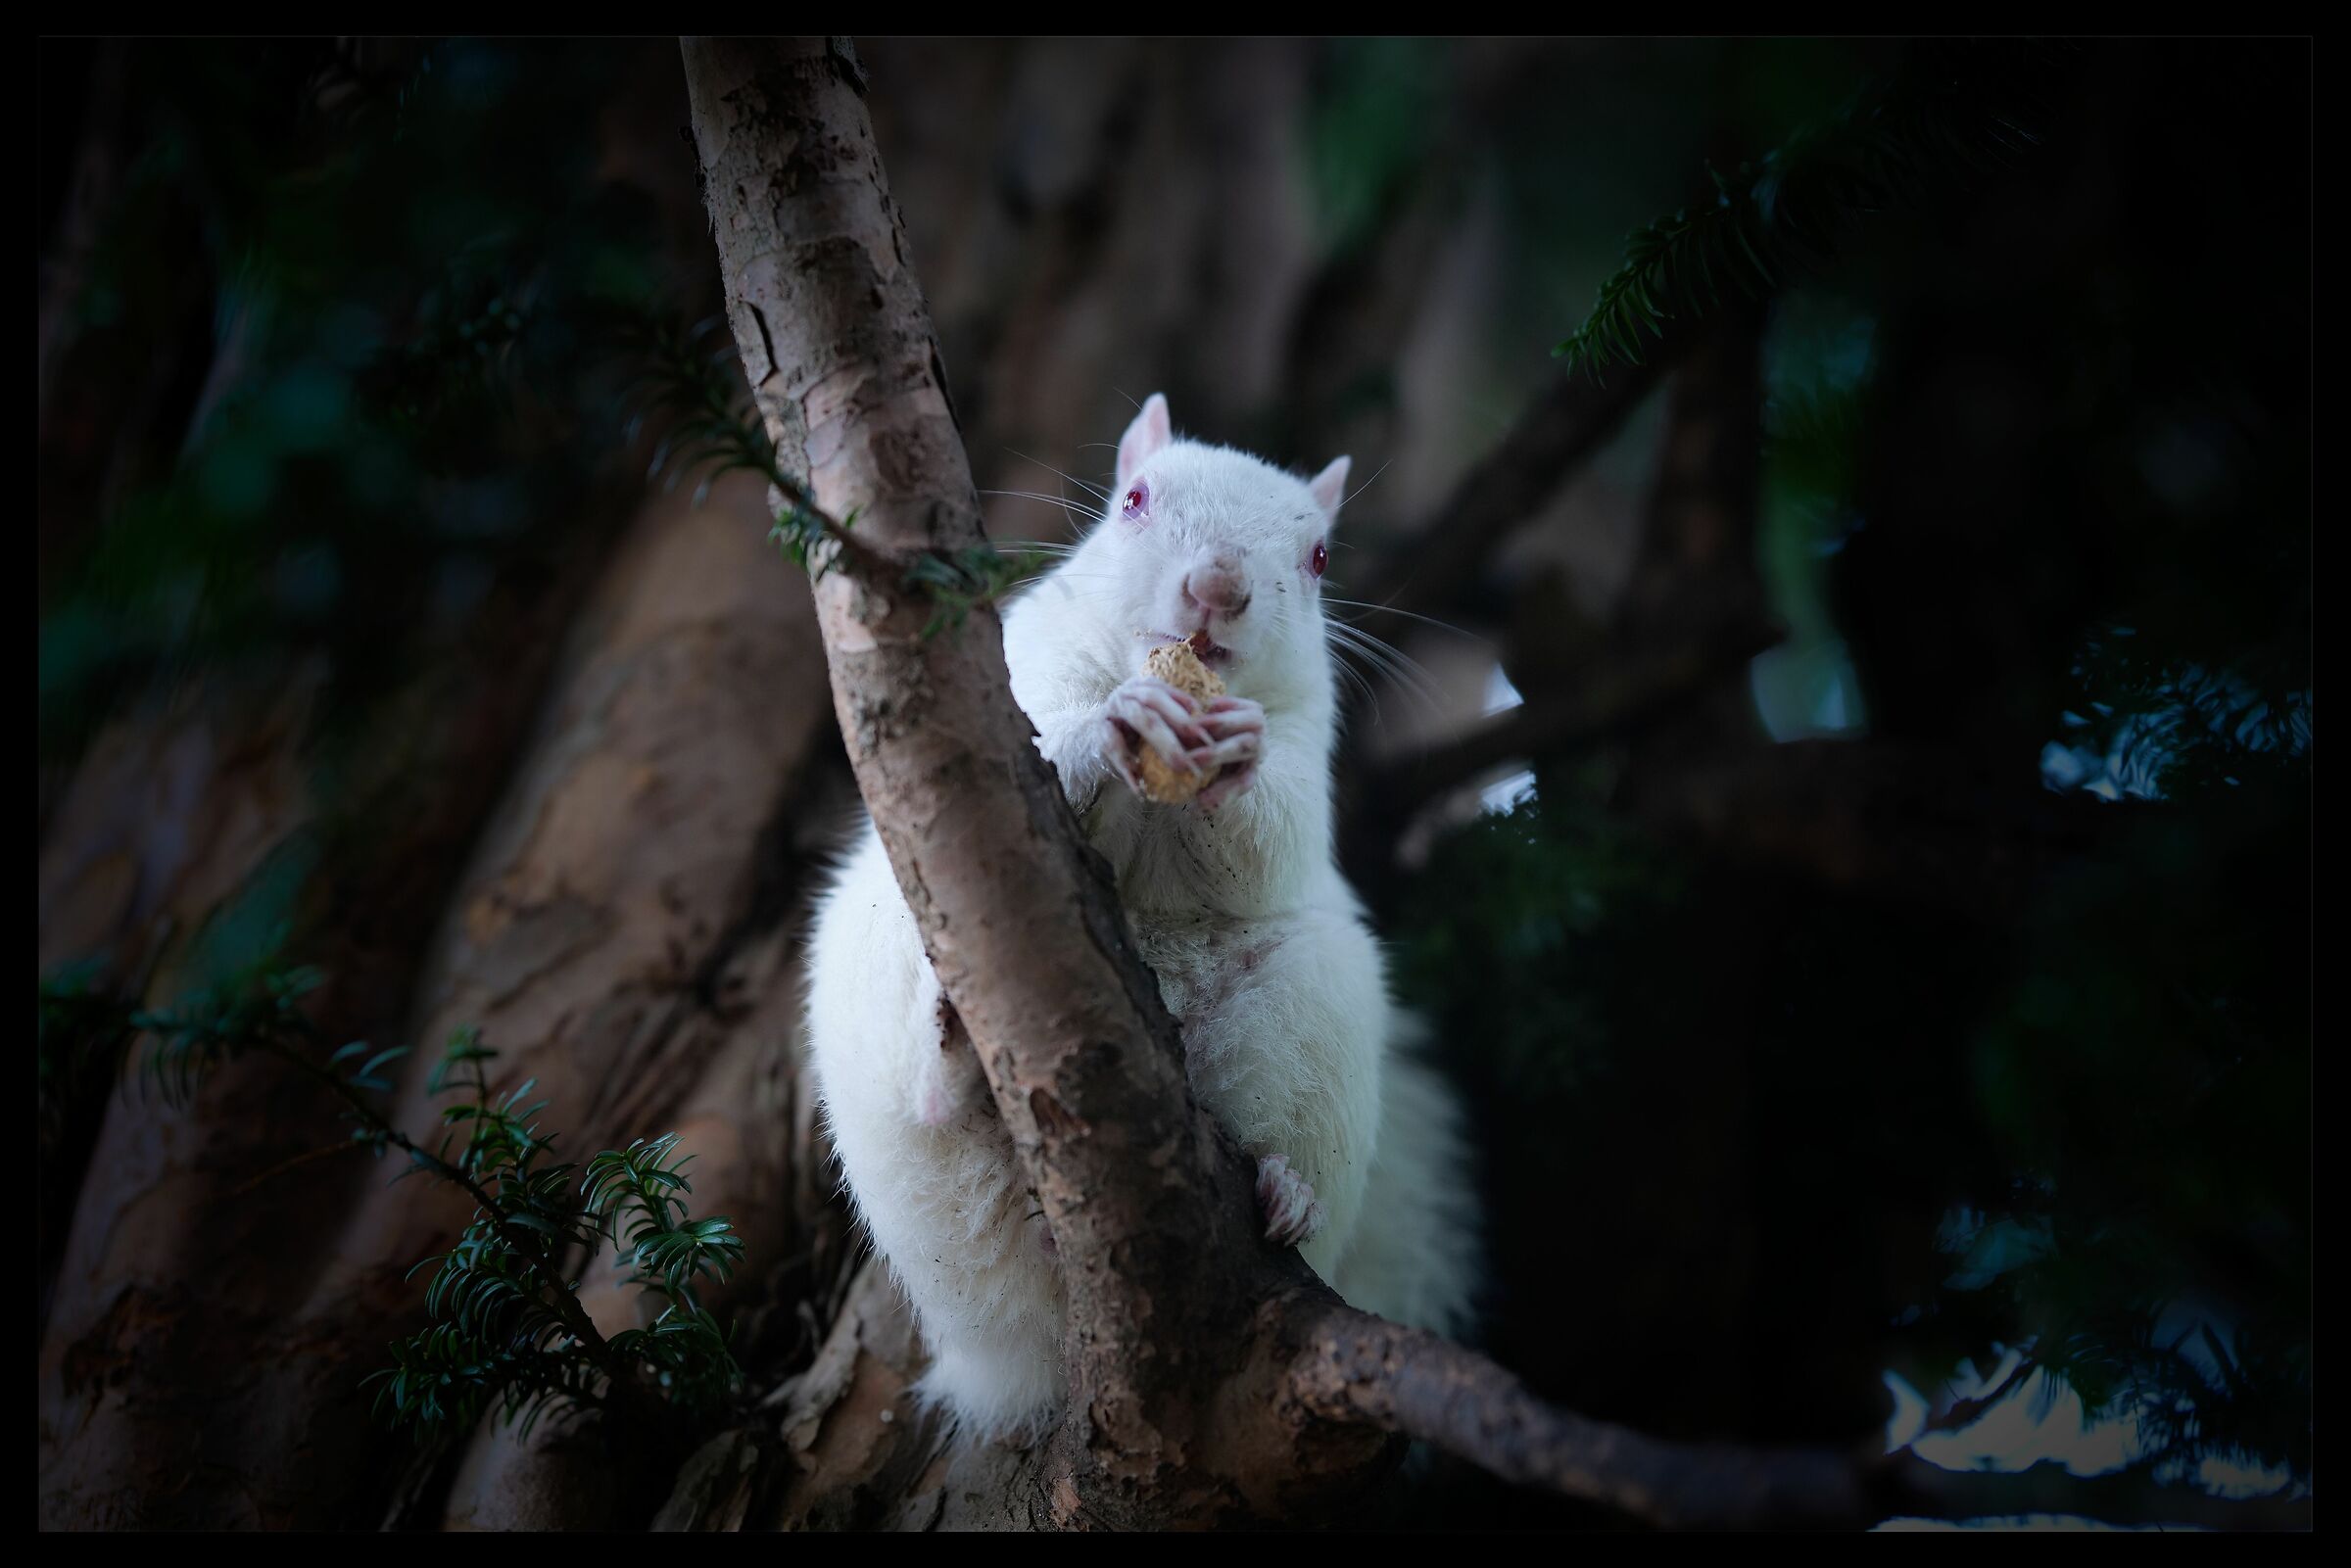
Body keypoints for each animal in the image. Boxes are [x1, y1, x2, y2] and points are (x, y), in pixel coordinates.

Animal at [803, 393, 1482, 1441]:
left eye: (1320, 555)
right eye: (1133, 500)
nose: (1217, 586)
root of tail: (1017, 1359)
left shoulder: (1307, 746)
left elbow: (1269, 845)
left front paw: (1234, 757)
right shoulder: (1023, 671)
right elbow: (1052, 731)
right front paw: (1116, 722)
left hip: (1321, 1011)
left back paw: (1287, 1190)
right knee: (932, 1109)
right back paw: (953, 1058)